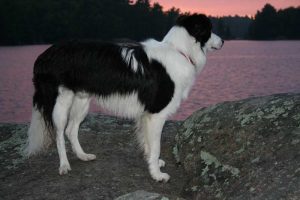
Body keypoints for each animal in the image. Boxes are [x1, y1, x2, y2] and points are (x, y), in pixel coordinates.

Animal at [25, 14, 223, 182]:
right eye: (209, 29)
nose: (223, 41)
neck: (179, 50)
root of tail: (43, 55)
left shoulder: (146, 114)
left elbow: (148, 142)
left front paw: (152, 163)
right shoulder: (156, 113)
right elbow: (156, 145)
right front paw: (157, 175)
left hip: (81, 101)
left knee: (71, 130)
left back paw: (83, 156)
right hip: (60, 102)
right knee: (59, 133)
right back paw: (64, 165)